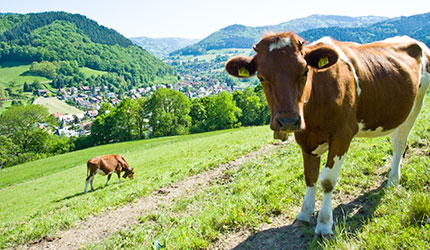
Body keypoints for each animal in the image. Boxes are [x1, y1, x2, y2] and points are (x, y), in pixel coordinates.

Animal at [225, 32, 430, 235]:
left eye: (305, 71)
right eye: (261, 77)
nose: (288, 121)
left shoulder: (342, 134)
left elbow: (327, 180)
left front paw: (324, 224)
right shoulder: (305, 139)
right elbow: (310, 176)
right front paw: (304, 214)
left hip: (417, 102)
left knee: (400, 143)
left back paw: (393, 180)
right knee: (397, 140)